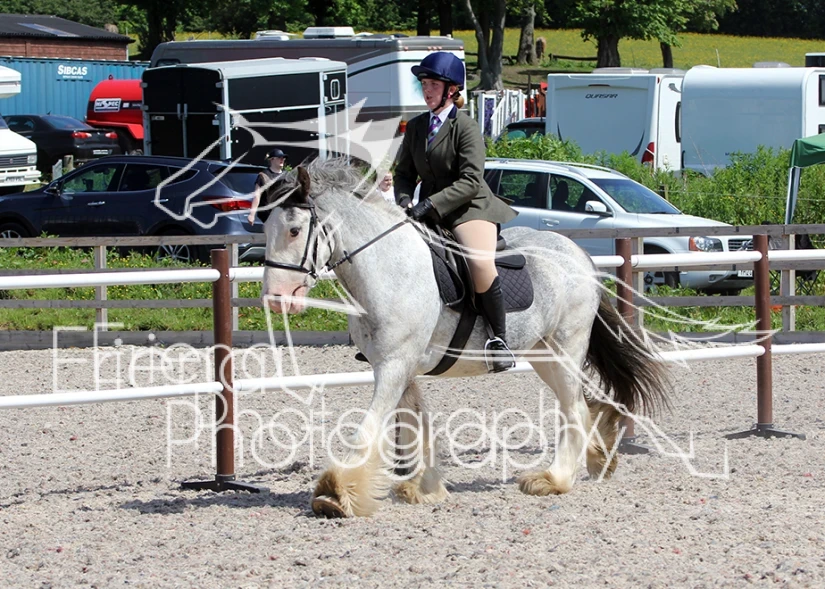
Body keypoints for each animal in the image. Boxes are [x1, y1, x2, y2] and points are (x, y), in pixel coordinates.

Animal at [259, 158, 670, 518]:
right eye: (265, 231)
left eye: (294, 230)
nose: (276, 298)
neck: (389, 267)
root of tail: (579, 255)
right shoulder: (397, 365)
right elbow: (413, 425)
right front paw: (422, 486)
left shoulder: (394, 364)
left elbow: (370, 427)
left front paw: (335, 494)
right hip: (543, 355)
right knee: (581, 405)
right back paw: (598, 458)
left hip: (567, 347)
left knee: (574, 409)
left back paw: (555, 479)